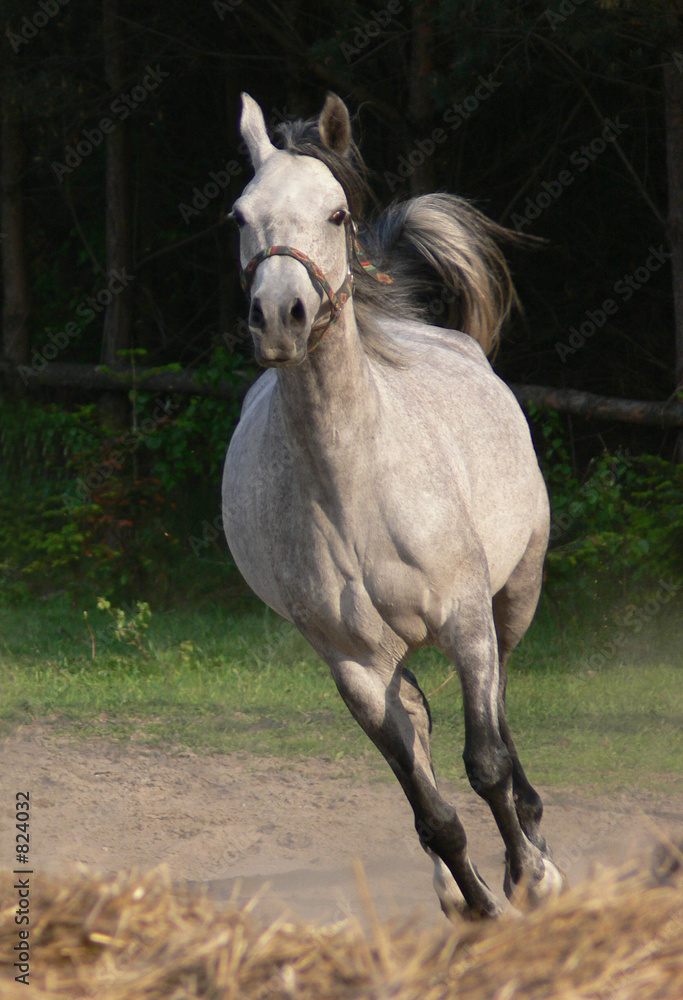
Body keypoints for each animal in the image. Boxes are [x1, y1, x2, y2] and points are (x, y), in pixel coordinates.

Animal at [222, 92, 564, 919]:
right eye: (239, 215)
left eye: (336, 213)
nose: (278, 315)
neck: (351, 485)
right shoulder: (353, 664)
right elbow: (431, 808)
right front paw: (478, 905)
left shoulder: (467, 620)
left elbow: (486, 762)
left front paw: (530, 877)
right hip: (396, 653)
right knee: (421, 725)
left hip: (514, 596)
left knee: (500, 711)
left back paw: (534, 838)